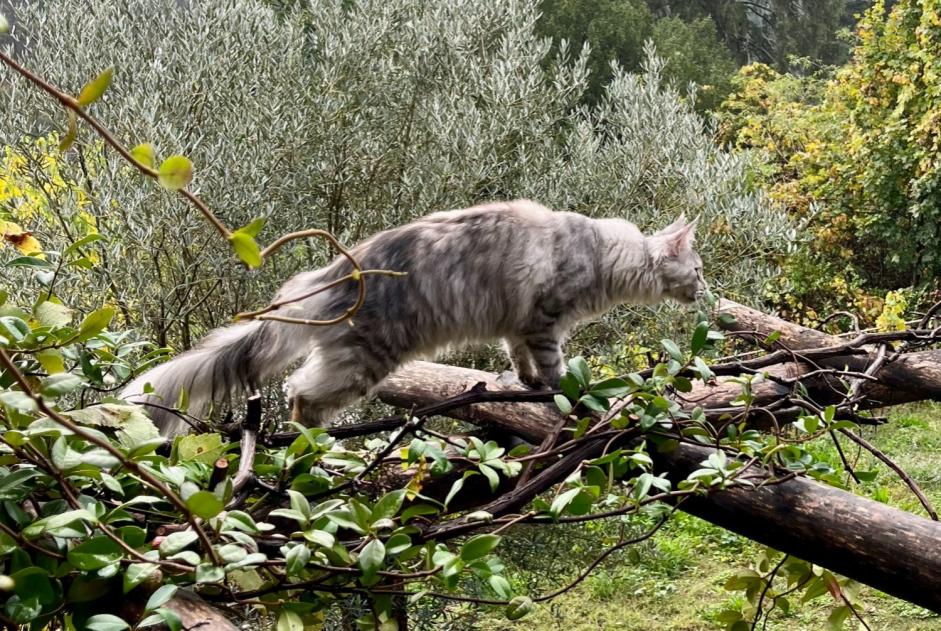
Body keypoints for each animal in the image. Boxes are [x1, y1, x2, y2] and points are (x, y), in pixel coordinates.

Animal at [119, 200, 704, 436]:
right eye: (697, 269)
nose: (704, 292)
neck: (605, 254)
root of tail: (335, 270)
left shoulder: (518, 326)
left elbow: (519, 359)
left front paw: (528, 384)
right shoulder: (545, 319)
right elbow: (553, 365)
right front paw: (562, 393)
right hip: (366, 358)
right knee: (301, 394)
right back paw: (313, 445)